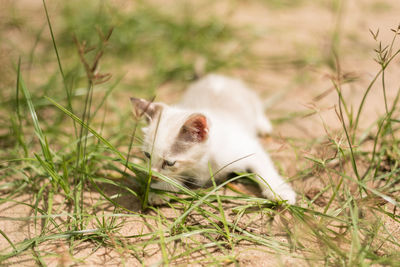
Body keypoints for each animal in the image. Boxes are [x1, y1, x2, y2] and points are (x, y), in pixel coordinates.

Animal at [130, 75, 296, 205]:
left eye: (169, 163)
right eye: (147, 155)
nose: (152, 175)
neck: (203, 163)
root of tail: (216, 77)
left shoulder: (250, 148)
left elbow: (265, 170)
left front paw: (279, 191)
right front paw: (161, 189)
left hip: (250, 99)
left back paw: (263, 124)